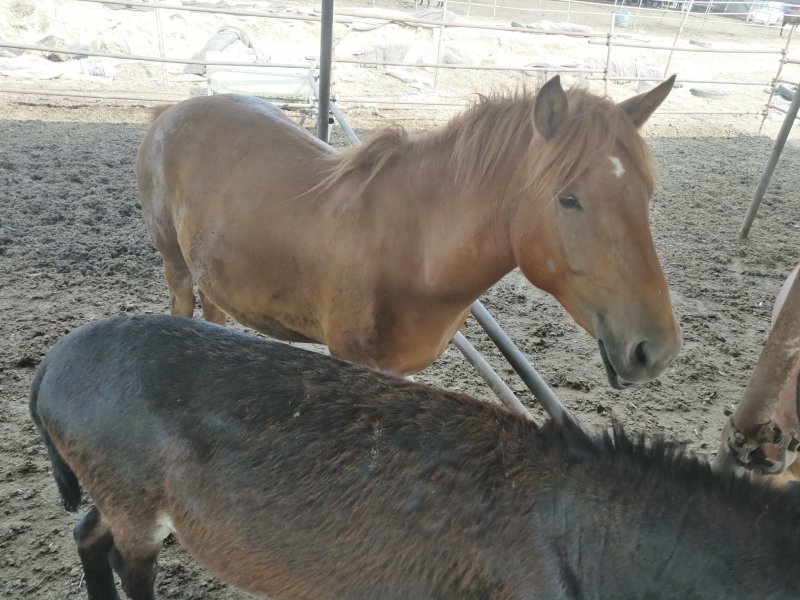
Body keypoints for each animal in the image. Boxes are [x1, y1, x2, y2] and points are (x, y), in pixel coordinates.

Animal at [136, 75, 682, 387]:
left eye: (646, 194)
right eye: (569, 199)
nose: (655, 351)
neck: (415, 250)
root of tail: (168, 111)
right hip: (174, 262)